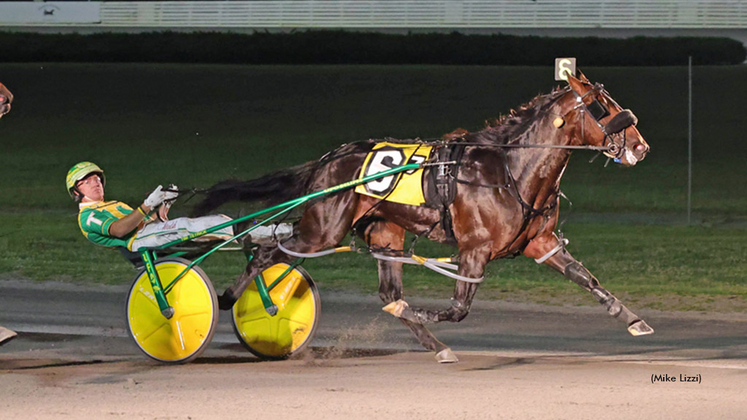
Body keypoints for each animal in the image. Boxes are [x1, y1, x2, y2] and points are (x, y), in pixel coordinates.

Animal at [194, 72, 656, 360]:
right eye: (602, 106)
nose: (641, 146)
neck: (511, 169)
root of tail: (328, 159)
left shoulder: (540, 242)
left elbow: (587, 279)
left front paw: (634, 321)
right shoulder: (474, 249)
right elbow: (458, 308)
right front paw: (426, 313)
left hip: (385, 234)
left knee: (387, 293)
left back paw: (436, 347)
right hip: (322, 230)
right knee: (266, 251)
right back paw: (231, 298)